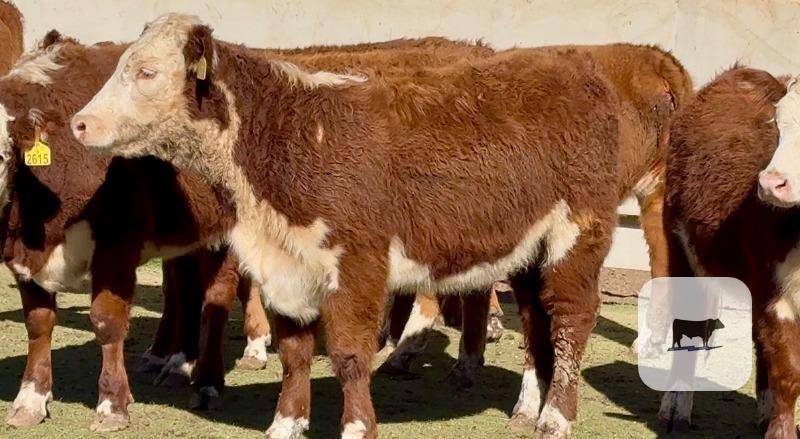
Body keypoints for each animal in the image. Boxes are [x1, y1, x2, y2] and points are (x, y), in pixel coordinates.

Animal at [73, 13, 622, 438]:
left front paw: (357, 425)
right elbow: (295, 351)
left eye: (147, 71)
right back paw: (529, 408)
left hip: (579, 235)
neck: (291, 135)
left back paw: (555, 417)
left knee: (571, 320)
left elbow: (349, 355)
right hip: (532, 250)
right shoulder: (287, 266)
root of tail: (570, 64)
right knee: (535, 321)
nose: (80, 123)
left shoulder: (357, 265)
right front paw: (285, 423)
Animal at [658, 66, 799, 438]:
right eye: (779, 123)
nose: (771, 183)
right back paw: (675, 410)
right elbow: (788, 370)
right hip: (683, 254)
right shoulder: (776, 293)